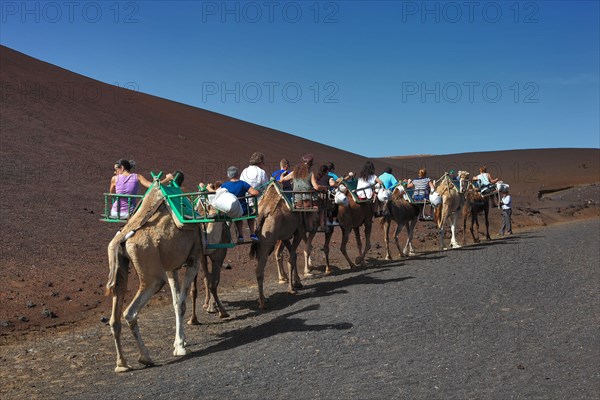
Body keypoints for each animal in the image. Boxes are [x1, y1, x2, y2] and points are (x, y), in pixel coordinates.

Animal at [105, 184, 202, 372]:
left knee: (114, 318)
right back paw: (146, 358)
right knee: (130, 313)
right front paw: (180, 347)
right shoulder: (194, 259)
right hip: (153, 276)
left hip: (120, 269)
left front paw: (180, 342)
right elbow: (181, 304)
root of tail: (123, 240)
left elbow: (176, 303)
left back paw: (122, 364)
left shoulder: (171, 268)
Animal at [248, 181, 304, 310]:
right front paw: (292, 287)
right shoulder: (298, 231)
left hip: (261, 242)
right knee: (259, 269)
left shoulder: (285, 236)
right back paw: (262, 302)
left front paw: (296, 282)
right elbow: (292, 257)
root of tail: (263, 213)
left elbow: (293, 255)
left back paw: (262, 299)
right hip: (268, 241)